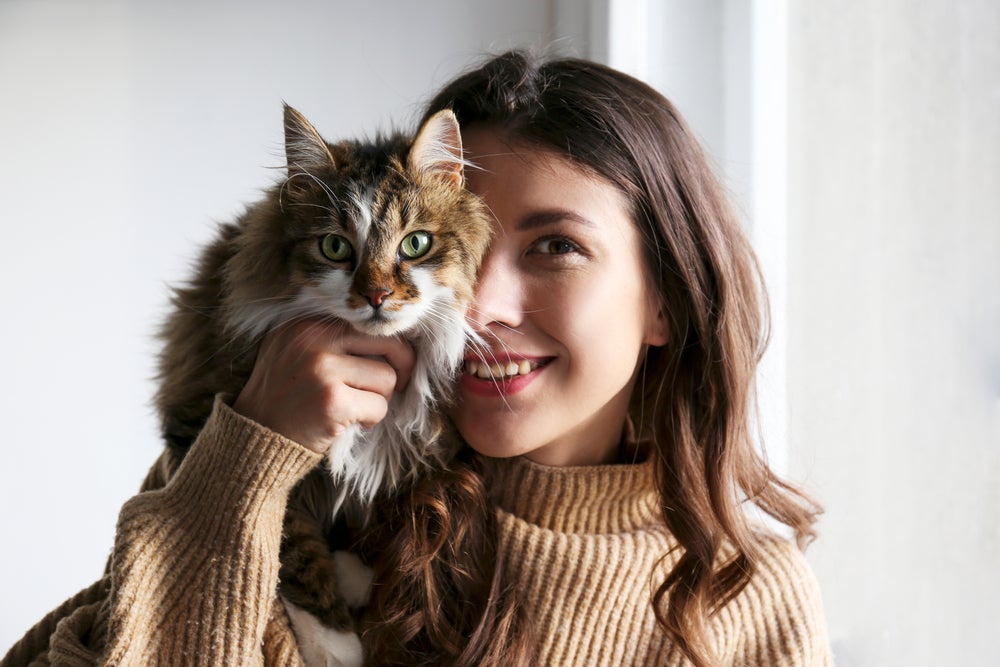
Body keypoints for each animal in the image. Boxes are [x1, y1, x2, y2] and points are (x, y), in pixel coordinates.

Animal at [154, 104, 494, 667]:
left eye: (415, 244)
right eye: (335, 247)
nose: (376, 295)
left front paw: (354, 574)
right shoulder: (200, 407)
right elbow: (288, 540)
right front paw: (336, 643)